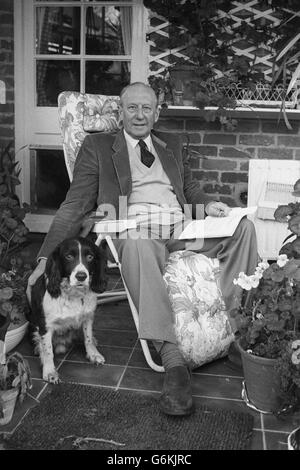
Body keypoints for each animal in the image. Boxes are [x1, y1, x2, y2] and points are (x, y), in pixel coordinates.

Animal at [27, 237, 108, 384]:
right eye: (68, 256)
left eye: (90, 257)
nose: (81, 276)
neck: (73, 294)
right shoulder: (45, 325)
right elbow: (48, 351)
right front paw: (49, 372)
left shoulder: (88, 317)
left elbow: (88, 338)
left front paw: (93, 354)